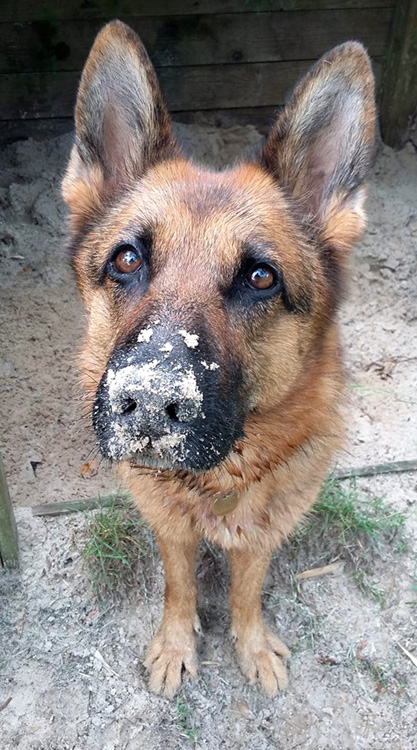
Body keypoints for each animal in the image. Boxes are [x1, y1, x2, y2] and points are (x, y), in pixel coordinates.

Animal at [63, 23, 376, 704]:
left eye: (260, 277)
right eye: (127, 259)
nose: (150, 403)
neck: (217, 486)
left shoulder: (263, 535)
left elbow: (246, 592)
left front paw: (252, 647)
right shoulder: (170, 528)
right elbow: (179, 585)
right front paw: (177, 644)